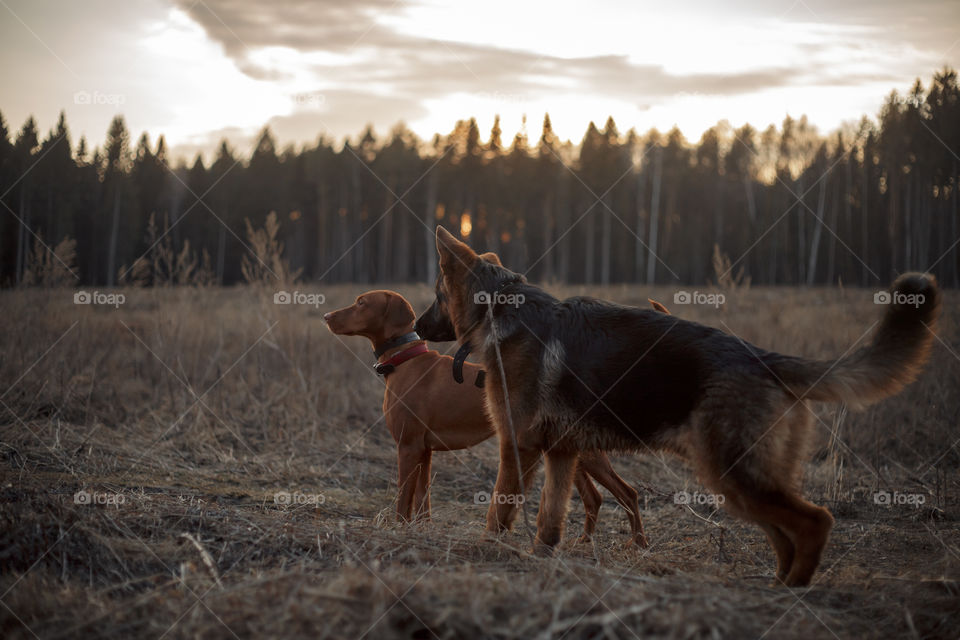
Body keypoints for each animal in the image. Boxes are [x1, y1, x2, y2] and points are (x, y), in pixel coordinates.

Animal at [326, 290, 648, 544]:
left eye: (361, 303)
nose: (327, 315)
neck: (405, 361)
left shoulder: (407, 447)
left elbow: (403, 499)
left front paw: (398, 530)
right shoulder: (425, 451)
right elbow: (422, 499)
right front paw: (422, 529)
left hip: (586, 454)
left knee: (628, 493)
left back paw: (639, 545)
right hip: (571, 453)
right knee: (595, 498)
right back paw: (585, 542)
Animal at [418, 225, 936, 584]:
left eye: (436, 295)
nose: (419, 329)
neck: (500, 308)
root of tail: (763, 358)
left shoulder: (517, 450)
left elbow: (498, 512)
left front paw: (486, 552)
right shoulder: (562, 455)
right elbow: (550, 522)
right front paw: (540, 560)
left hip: (734, 473)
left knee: (815, 522)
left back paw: (793, 592)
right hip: (738, 482)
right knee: (784, 533)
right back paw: (775, 584)